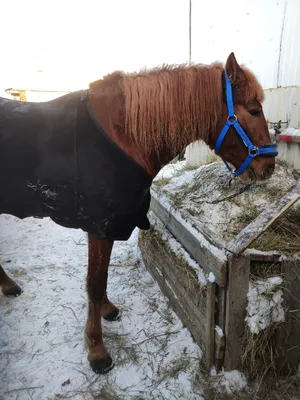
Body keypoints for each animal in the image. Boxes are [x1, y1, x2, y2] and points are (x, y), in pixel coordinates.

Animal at [0, 51, 278, 374]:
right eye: (254, 110)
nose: (269, 166)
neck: (124, 137)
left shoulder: (108, 227)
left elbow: (102, 277)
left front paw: (107, 311)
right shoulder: (100, 226)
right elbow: (95, 283)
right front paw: (97, 349)